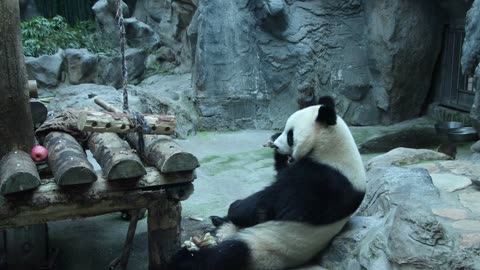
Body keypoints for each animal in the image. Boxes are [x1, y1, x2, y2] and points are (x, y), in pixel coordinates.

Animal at [170, 96, 368, 268]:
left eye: (290, 135)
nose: (277, 144)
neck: (332, 149)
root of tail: (227, 234)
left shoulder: (321, 181)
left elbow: (270, 203)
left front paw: (235, 207)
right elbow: (280, 175)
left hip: (263, 247)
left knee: (225, 255)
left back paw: (186, 256)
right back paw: (217, 222)